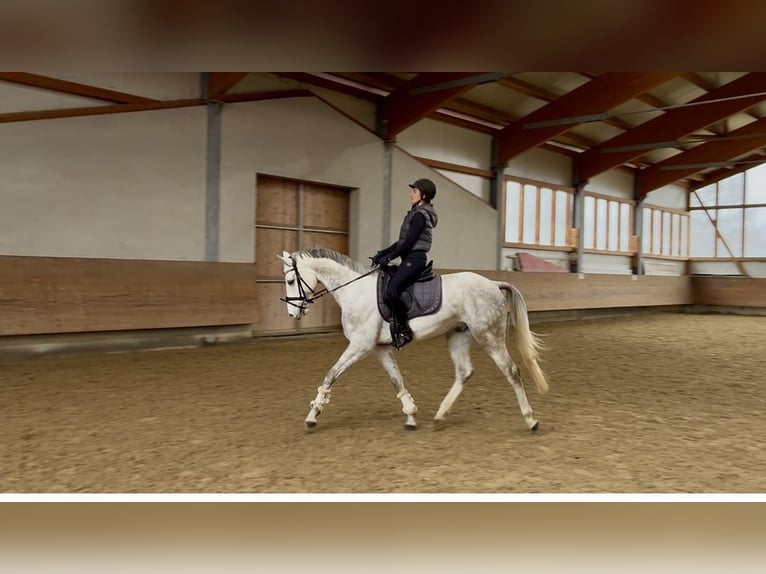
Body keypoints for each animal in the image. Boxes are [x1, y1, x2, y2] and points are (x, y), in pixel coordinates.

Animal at [277, 248, 549, 431]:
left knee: (511, 371)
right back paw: (440, 416)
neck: (354, 291)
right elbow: (396, 380)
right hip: (458, 335)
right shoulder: (379, 349)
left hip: (489, 336)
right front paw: (410, 416)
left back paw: (531, 419)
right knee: (464, 372)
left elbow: (331, 375)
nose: (292, 314)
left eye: (290, 280)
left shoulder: (360, 346)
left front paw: (313, 415)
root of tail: (493, 283)